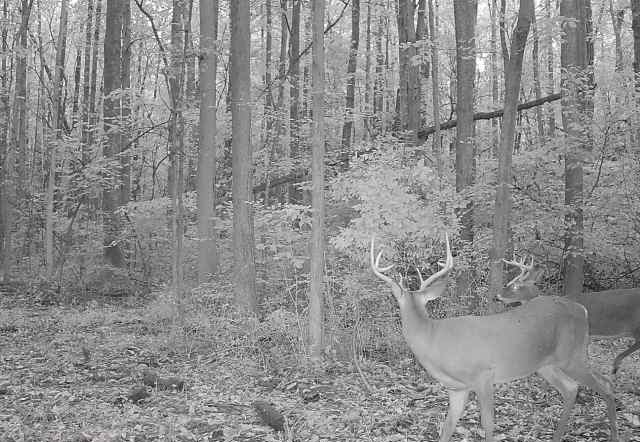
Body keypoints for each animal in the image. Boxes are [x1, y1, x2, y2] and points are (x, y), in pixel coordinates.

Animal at [370, 234, 618, 442]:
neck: (433, 339)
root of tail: (582, 310)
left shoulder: (484, 375)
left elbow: (488, 424)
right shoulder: (456, 388)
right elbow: (447, 427)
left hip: (572, 355)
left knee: (604, 384)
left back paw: (613, 434)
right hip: (546, 364)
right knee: (571, 388)